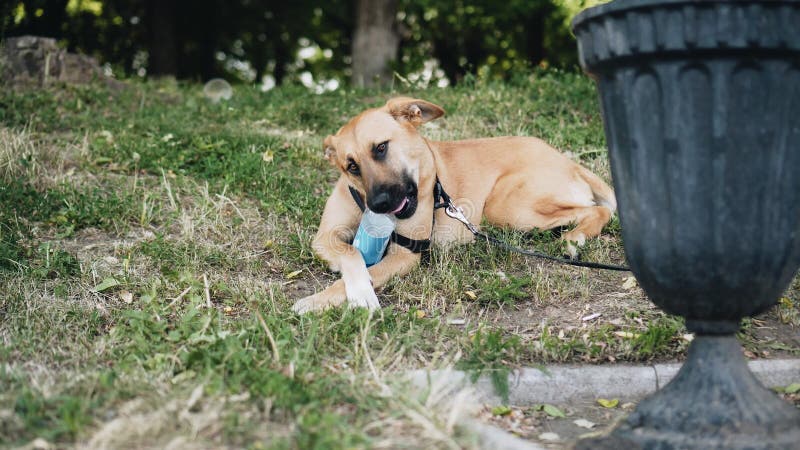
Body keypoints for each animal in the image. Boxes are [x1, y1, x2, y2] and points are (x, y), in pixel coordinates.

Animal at [290, 96, 616, 312]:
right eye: (352, 166)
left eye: (381, 148)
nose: (380, 204)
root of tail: (567, 161)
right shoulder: (324, 237)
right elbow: (351, 253)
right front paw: (352, 285)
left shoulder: (405, 254)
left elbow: (365, 267)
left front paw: (329, 297)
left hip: (507, 208)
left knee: (598, 210)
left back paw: (575, 238)